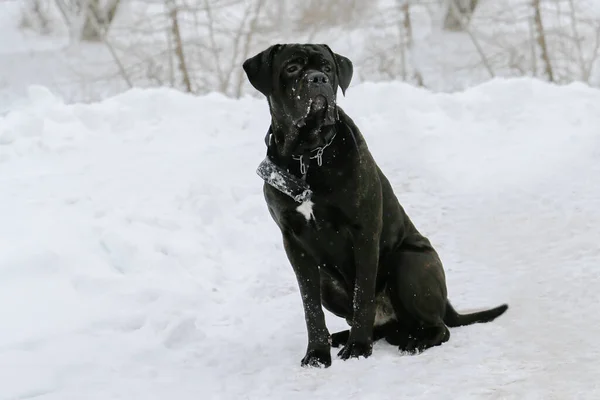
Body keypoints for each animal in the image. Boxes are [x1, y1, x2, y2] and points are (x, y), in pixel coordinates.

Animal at [241, 44, 508, 368]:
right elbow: (310, 307)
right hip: (328, 282)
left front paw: (358, 349)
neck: (308, 155)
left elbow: (363, 294)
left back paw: (412, 342)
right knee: (384, 326)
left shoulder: (364, 231)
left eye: (327, 68)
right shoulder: (294, 242)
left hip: (408, 262)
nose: (318, 79)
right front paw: (317, 354)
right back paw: (340, 338)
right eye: (292, 68)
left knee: (438, 328)